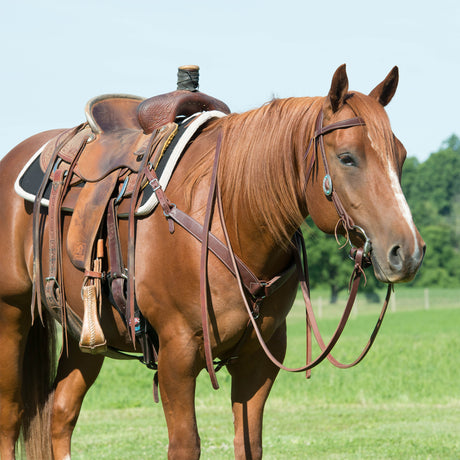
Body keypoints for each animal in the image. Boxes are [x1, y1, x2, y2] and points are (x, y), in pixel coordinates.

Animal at [0, 65, 424, 460]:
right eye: (347, 157)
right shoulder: (177, 355)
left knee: (60, 413)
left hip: (85, 335)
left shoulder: (259, 359)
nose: (407, 251)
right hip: (13, 317)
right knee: (11, 415)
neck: (229, 217)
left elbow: (249, 443)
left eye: (401, 155)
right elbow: (185, 445)